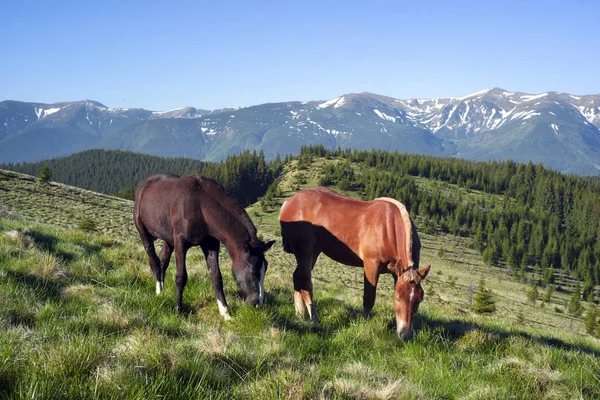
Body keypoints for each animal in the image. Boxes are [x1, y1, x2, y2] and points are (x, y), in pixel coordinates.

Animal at [133, 173, 274, 320]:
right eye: (253, 272)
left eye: (265, 269)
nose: (258, 303)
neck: (200, 205)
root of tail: (144, 184)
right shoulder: (180, 243)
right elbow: (181, 277)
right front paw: (178, 310)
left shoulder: (211, 245)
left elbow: (216, 277)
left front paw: (225, 312)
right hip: (144, 232)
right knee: (154, 260)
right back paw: (159, 291)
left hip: (168, 239)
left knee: (162, 260)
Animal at [278, 188, 428, 340]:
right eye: (397, 297)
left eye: (419, 299)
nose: (406, 334)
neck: (388, 229)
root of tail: (289, 202)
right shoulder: (371, 264)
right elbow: (369, 297)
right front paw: (364, 325)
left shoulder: (396, 273)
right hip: (305, 251)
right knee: (306, 282)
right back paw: (314, 317)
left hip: (314, 251)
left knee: (297, 277)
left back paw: (300, 314)